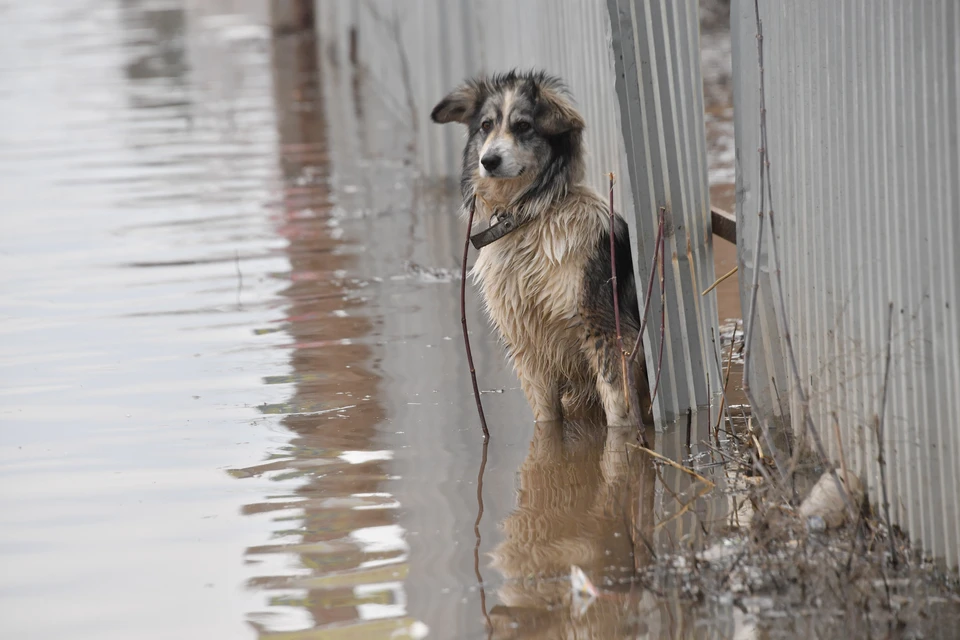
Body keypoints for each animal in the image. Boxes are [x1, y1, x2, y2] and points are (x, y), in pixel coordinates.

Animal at [434, 70, 652, 428]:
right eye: (485, 125)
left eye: (523, 126)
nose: (488, 161)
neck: (531, 218)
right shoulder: (528, 349)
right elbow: (547, 420)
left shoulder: (605, 331)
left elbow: (618, 408)